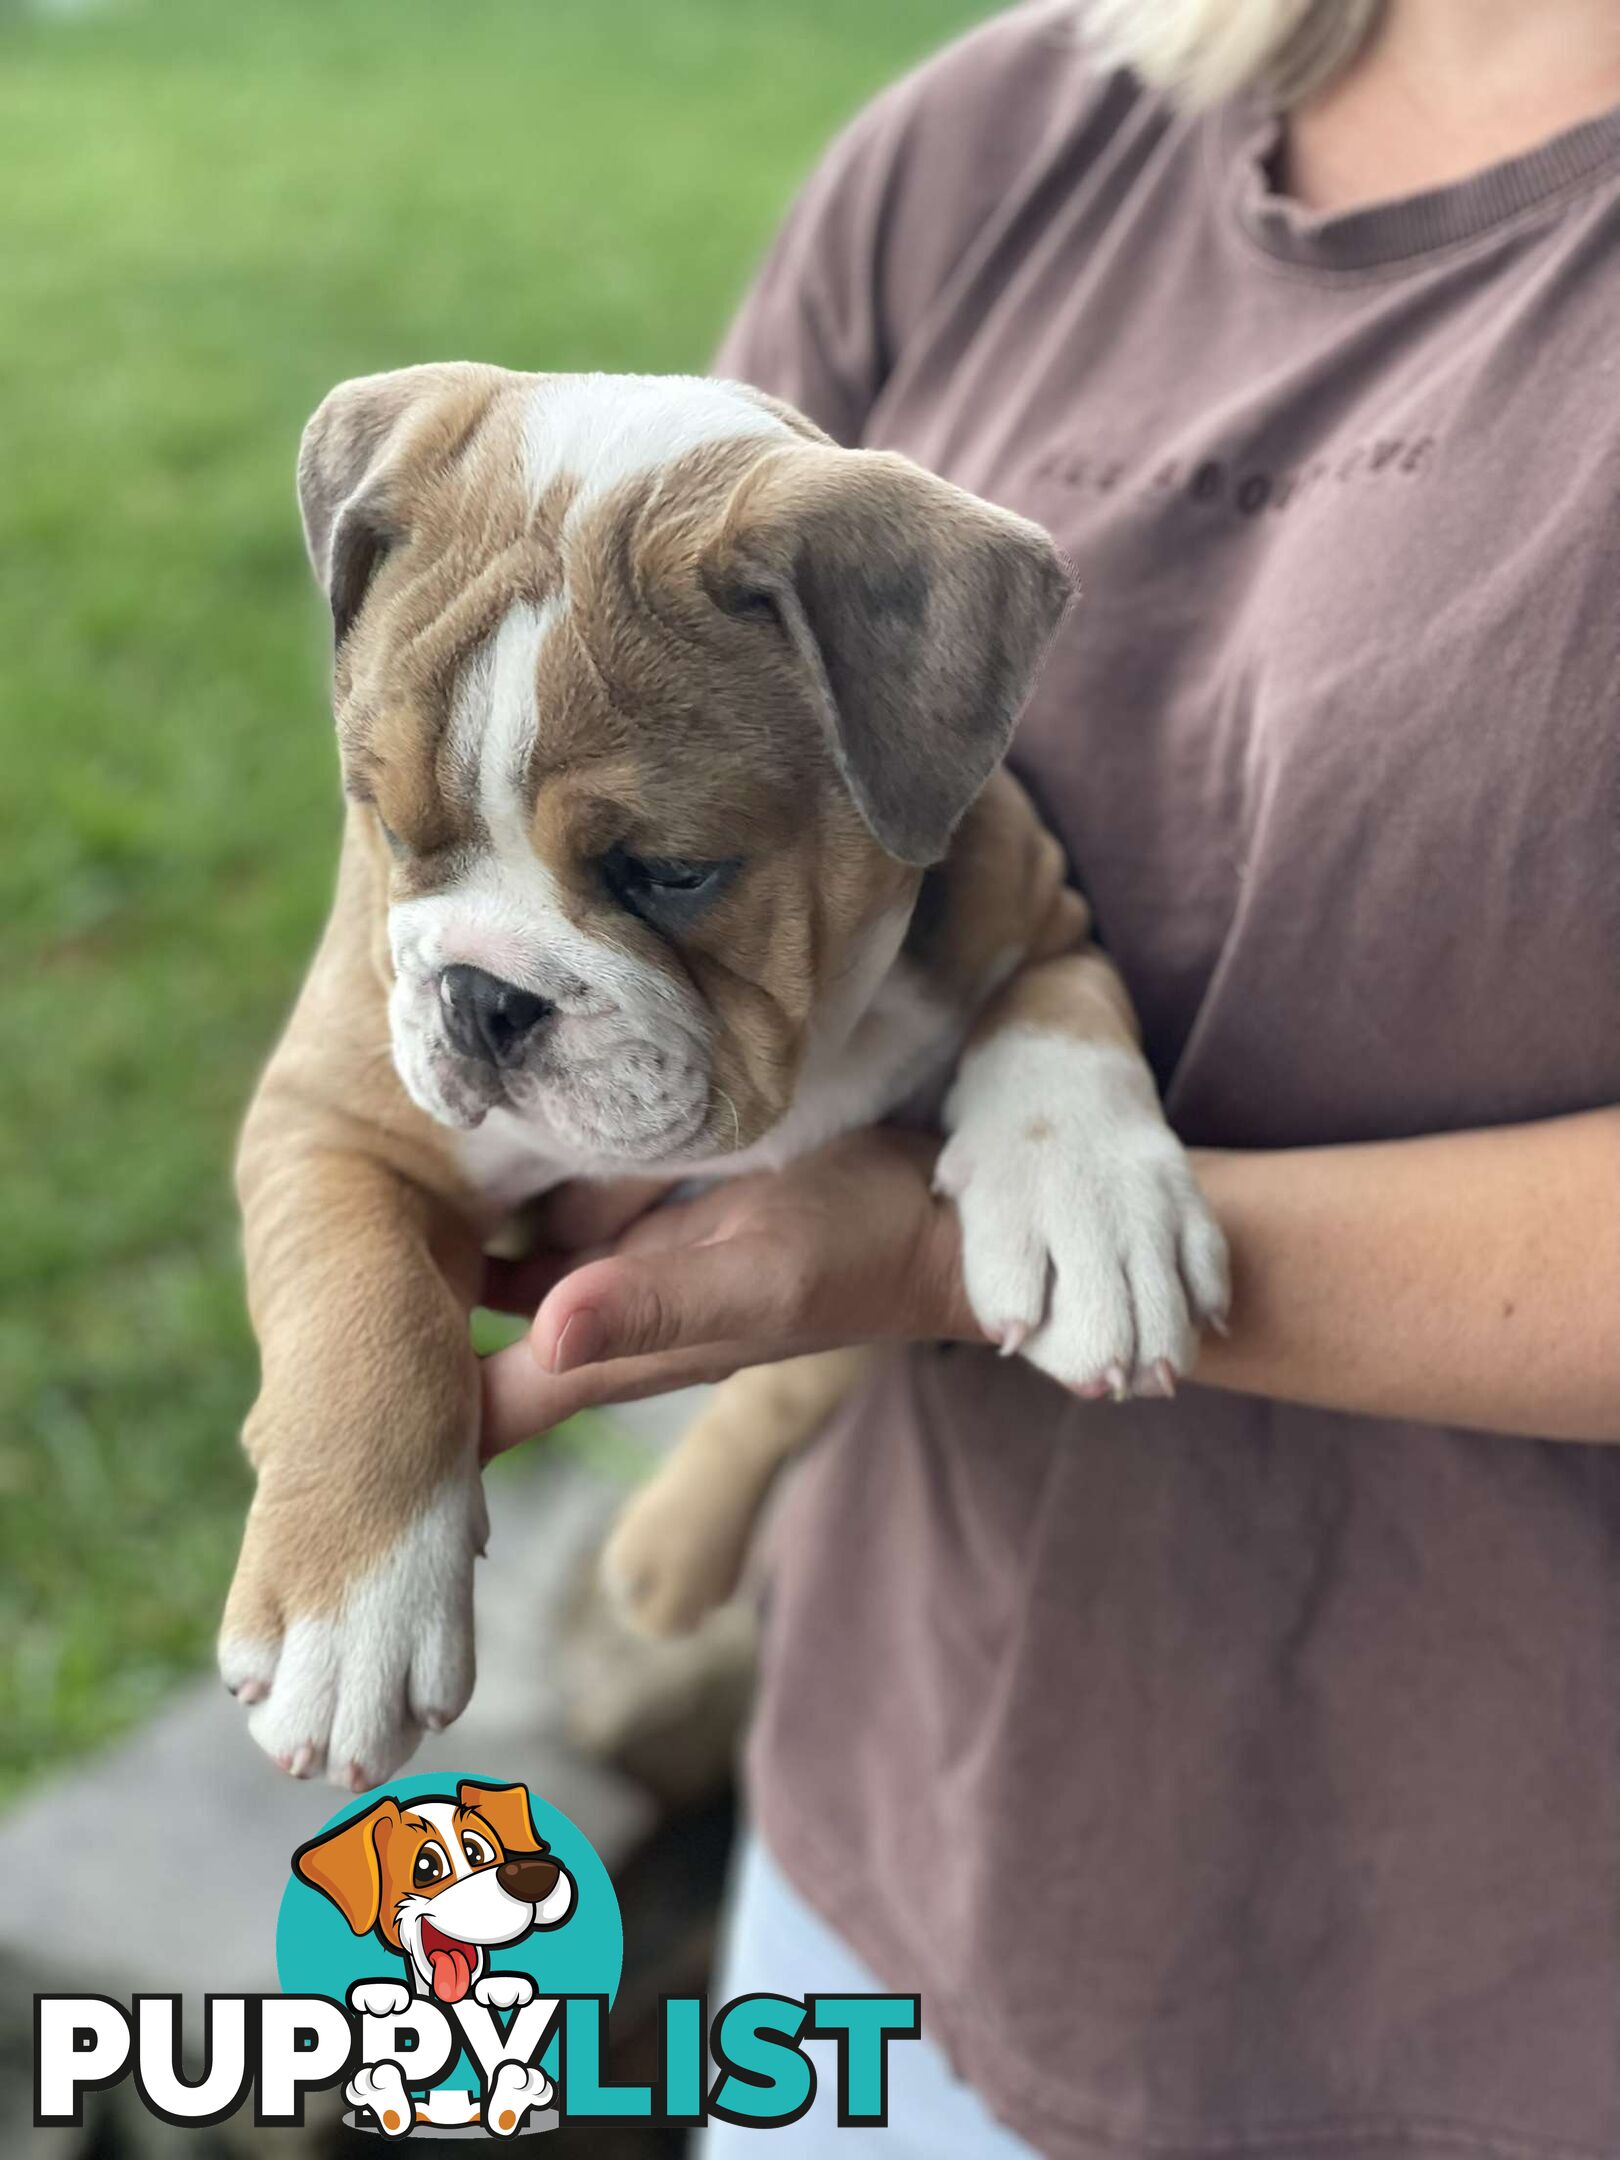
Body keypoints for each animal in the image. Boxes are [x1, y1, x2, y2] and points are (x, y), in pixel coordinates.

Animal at [219, 367, 1226, 1788]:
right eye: (391, 826)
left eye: (672, 872)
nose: (482, 996)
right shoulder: (335, 1115)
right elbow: (363, 1309)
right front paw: (349, 1615)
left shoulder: (1039, 913)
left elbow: (1059, 1023)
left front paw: (1094, 1218)